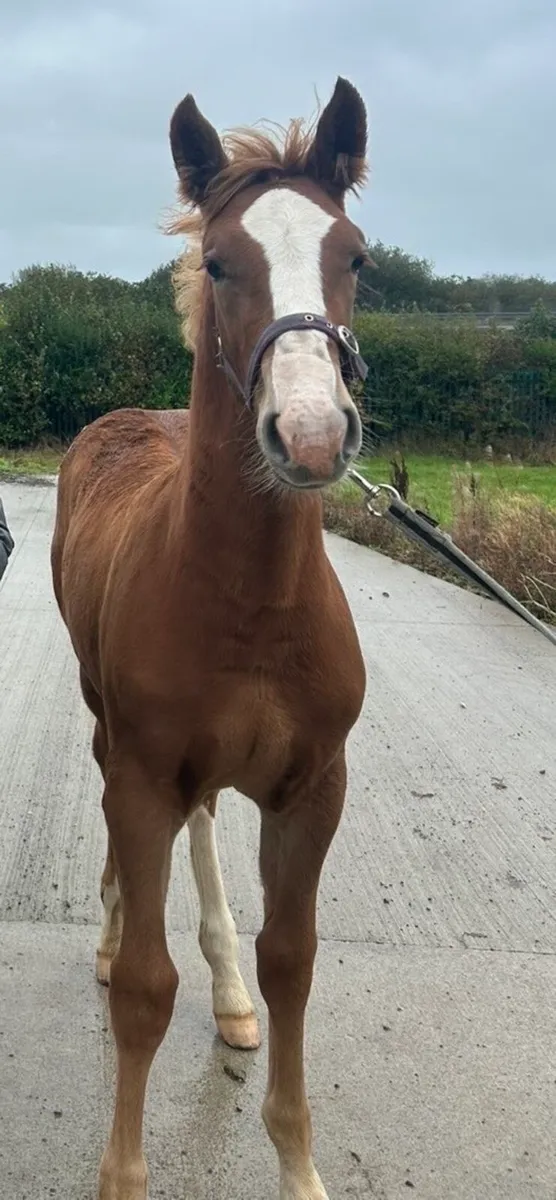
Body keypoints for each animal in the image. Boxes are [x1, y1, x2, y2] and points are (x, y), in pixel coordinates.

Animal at [51, 75, 369, 1200]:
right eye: (221, 261)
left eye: (356, 256)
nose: (311, 435)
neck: (252, 607)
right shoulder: (145, 771)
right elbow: (144, 989)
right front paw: (121, 1176)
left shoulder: (314, 786)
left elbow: (294, 961)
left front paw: (300, 1167)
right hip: (109, 723)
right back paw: (112, 928)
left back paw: (227, 991)